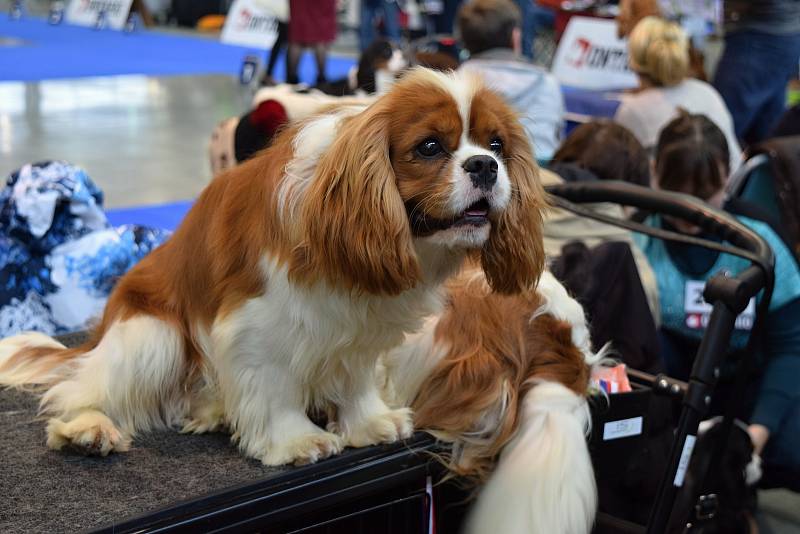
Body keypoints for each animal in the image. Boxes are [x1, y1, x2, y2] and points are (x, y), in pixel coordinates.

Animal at [0, 68, 548, 468]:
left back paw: (212, 410)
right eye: (430, 147)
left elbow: (356, 378)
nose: (484, 166)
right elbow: (274, 385)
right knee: (83, 389)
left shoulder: (361, 329)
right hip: (152, 335)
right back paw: (87, 429)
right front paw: (295, 441)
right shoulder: (257, 325)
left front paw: (368, 423)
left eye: (496, 145)